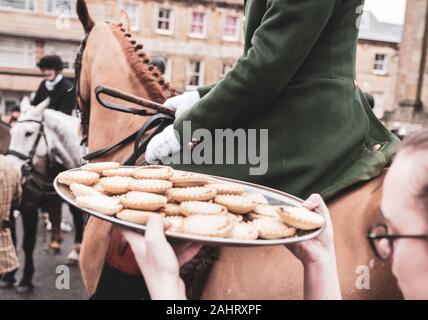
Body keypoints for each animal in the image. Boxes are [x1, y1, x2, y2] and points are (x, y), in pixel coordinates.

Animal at [6, 97, 83, 292]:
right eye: (12, 131)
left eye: (28, 133)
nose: (12, 171)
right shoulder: (10, 208)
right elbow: (13, 238)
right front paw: (9, 275)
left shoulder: (29, 208)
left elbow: (27, 243)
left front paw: (25, 279)